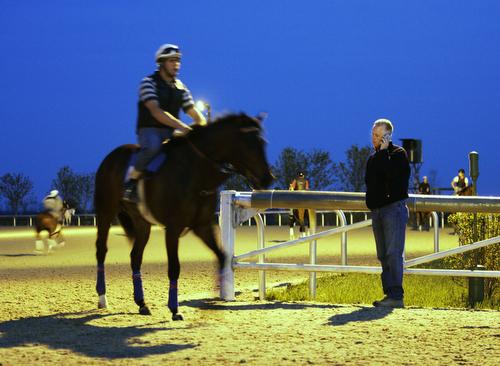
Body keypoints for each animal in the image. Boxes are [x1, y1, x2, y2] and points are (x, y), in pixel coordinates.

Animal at [94, 113, 274, 320]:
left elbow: (222, 257)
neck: (195, 171)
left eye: (263, 142)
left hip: (142, 223)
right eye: (250, 143)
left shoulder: (202, 225)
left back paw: (141, 303)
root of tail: (111, 157)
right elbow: (174, 268)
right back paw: (102, 298)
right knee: (101, 250)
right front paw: (175, 308)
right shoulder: (173, 228)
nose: (268, 178)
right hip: (105, 212)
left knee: (135, 257)